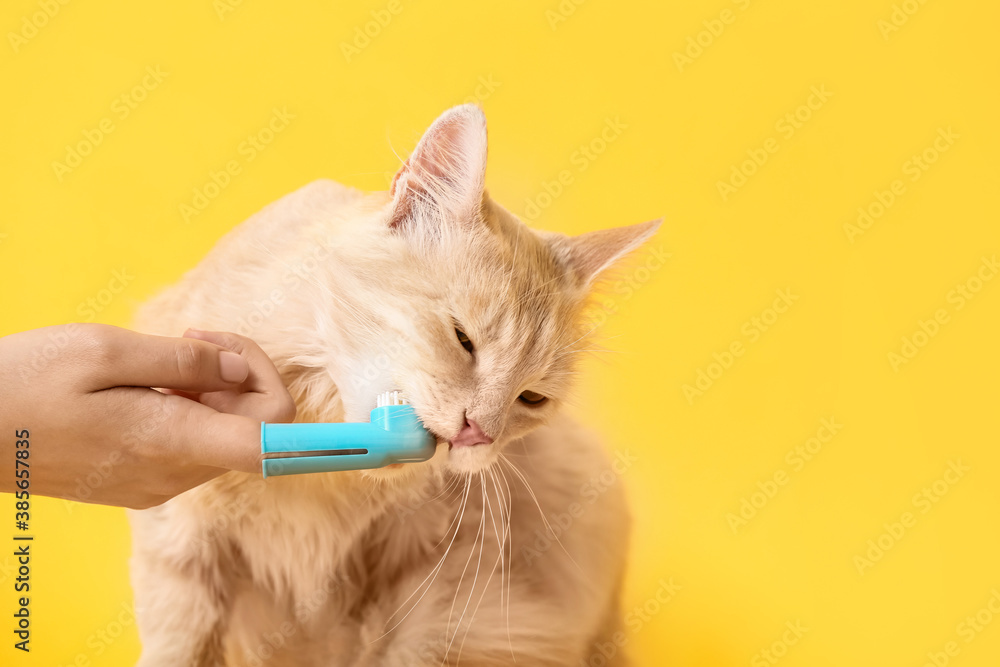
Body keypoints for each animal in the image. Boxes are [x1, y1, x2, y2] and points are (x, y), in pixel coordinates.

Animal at [129, 105, 660, 667]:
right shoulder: (181, 550)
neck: (322, 482)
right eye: (463, 338)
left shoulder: (441, 585)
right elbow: (179, 646)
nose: (478, 433)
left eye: (531, 398)